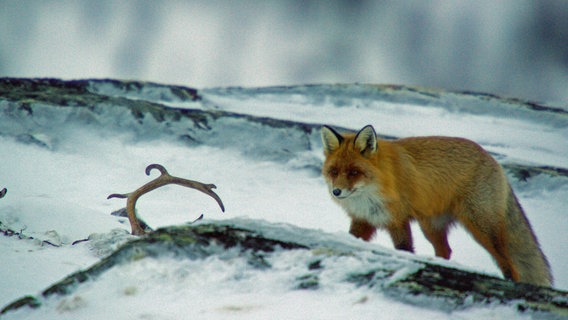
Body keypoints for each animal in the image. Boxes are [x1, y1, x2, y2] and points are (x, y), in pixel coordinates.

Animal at [322, 124, 552, 286]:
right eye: (334, 171)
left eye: (354, 172)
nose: (336, 192)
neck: (371, 193)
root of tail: (494, 161)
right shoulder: (364, 220)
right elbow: (353, 237)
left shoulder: (398, 221)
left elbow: (405, 248)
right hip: (431, 227)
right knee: (446, 250)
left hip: (482, 229)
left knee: (510, 264)